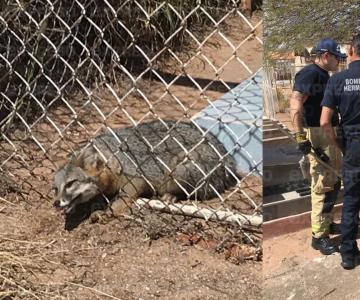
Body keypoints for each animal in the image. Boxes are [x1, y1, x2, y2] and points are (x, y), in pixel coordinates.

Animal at [53, 118, 239, 214]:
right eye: (56, 189)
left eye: (70, 184)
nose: (55, 203)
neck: (110, 158)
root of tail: (226, 155)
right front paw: (98, 203)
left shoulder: (137, 178)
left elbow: (122, 197)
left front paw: (110, 210)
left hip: (177, 171)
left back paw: (171, 196)